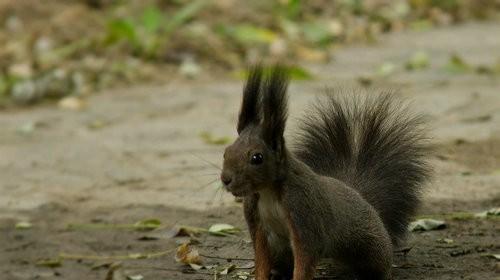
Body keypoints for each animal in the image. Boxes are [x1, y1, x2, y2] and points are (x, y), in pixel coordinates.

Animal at [221, 64, 432, 278]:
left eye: (257, 158)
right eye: (226, 152)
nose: (225, 179)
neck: (268, 192)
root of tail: (360, 197)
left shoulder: (305, 214)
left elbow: (305, 259)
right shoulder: (258, 225)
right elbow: (262, 257)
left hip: (371, 246)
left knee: (379, 265)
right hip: (282, 251)